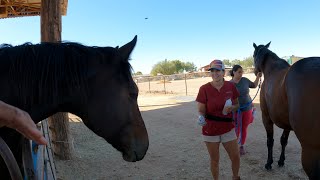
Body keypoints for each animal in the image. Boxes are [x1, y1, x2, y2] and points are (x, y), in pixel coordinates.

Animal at [254, 41, 318, 179]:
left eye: (253, 55)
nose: (256, 71)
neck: (272, 70)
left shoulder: (266, 118)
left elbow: (270, 141)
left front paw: (269, 163)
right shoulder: (287, 124)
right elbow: (283, 141)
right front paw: (281, 161)